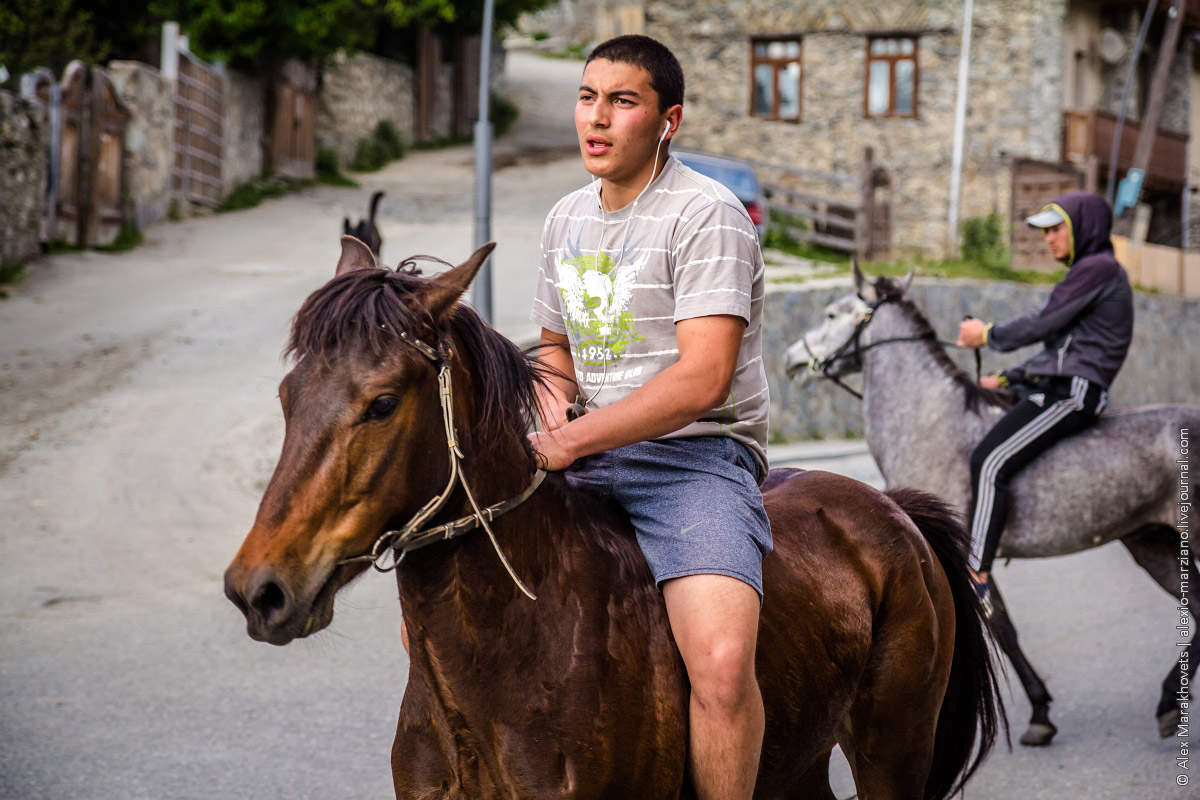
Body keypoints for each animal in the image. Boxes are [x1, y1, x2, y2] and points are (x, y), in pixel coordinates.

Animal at [782, 266, 1195, 748]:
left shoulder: (965, 556)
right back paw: (1168, 703)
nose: (791, 358)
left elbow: (1000, 631)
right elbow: (1002, 630)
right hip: (1154, 544)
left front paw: (1038, 712)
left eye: (832, 313)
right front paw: (1040, 711)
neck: (927, 419)